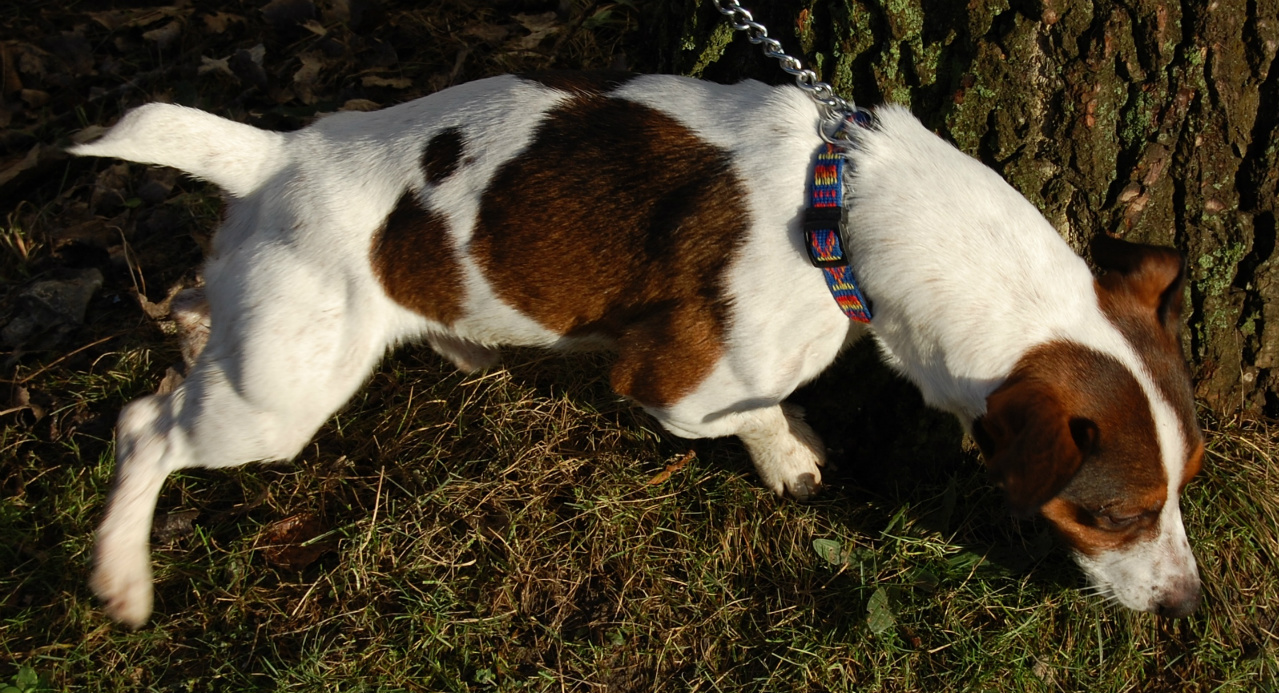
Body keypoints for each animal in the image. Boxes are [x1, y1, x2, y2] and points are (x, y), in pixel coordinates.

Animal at [70, 71, 1202, 629]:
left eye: (1182, 488)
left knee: (193, 331)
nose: (1189, 607)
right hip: (281, 396)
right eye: (1113, 515)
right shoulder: (674, 381)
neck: (849, 202)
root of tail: (274, 155)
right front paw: (784, 452)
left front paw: (790, 439)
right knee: (145, 428)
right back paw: (122, 573)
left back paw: (200, 318)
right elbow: (740, 410)